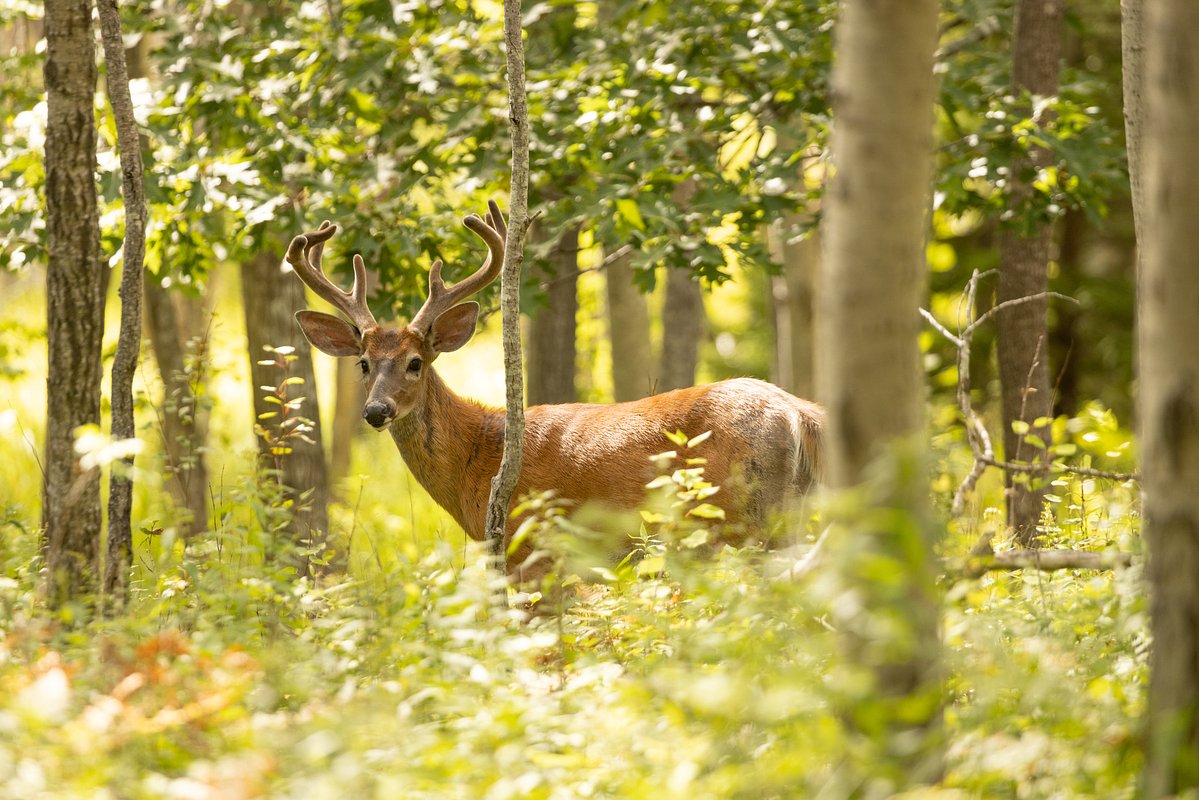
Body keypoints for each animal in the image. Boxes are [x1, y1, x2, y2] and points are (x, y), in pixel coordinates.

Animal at [286, 201, 824, 585]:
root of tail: (800, 413)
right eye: (364, 363)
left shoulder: (528, 548)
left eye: (415, 363)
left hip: (749, 519)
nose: (376, 410)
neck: (476, 454)